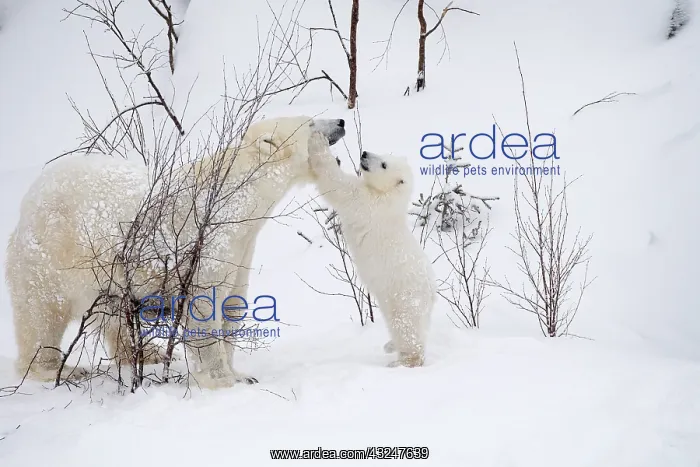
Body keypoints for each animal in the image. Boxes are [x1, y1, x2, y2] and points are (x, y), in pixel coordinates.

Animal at [5, 115, 345, 388]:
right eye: (310, 122)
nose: (341, 121)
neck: (236, 196)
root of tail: (31, 195)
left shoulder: (243, 246)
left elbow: (233, 302)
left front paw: (240, 374)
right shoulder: (208, 242)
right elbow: (205, 304)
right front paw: (222, 379)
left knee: (113, 309)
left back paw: (147, 353)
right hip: (52, 250)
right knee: (43, 312)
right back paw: (59, 369)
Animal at [307, 132, 437, 367]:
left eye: (384, 164)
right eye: (384, 154)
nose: (365, 153)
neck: (389, 197)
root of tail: (431, 295)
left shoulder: (367, 203)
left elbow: (337, 184)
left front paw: (319, 142)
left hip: (405, 297)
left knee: (406, 327)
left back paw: (403, 361)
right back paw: (390, 345)